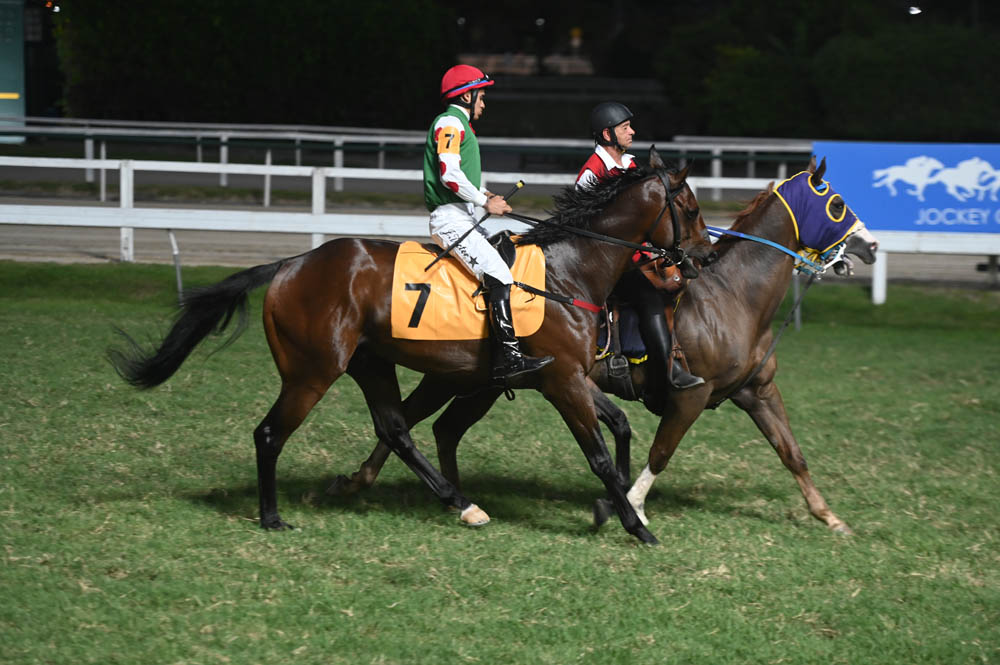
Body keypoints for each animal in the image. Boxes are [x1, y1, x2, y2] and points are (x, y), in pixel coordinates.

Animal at [108, 146, 715, 545]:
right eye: (689, 207)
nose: (703, 258)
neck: (568, 272)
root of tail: (289, 265)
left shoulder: (567, 378)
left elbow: (620, 426)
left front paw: (617, 510)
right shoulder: (561, 380)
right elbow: (598, 455)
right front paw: (635, 525)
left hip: (371, 364)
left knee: (395, 429)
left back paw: (460, 503)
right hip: (312, 372)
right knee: (271, 434)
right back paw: (272, 516)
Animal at [329, 156, 880, 535]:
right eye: (837, 205)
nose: (871, 246)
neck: (731, 294)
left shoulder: (758, 392)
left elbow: (793, 453)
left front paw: (828, 517)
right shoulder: (691, 395)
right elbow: (661, 453)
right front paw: (627, 507)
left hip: (478, 384)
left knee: (433, 425)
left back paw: (385, 486)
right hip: (458, 377)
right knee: (409, 419)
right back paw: (376, 484)